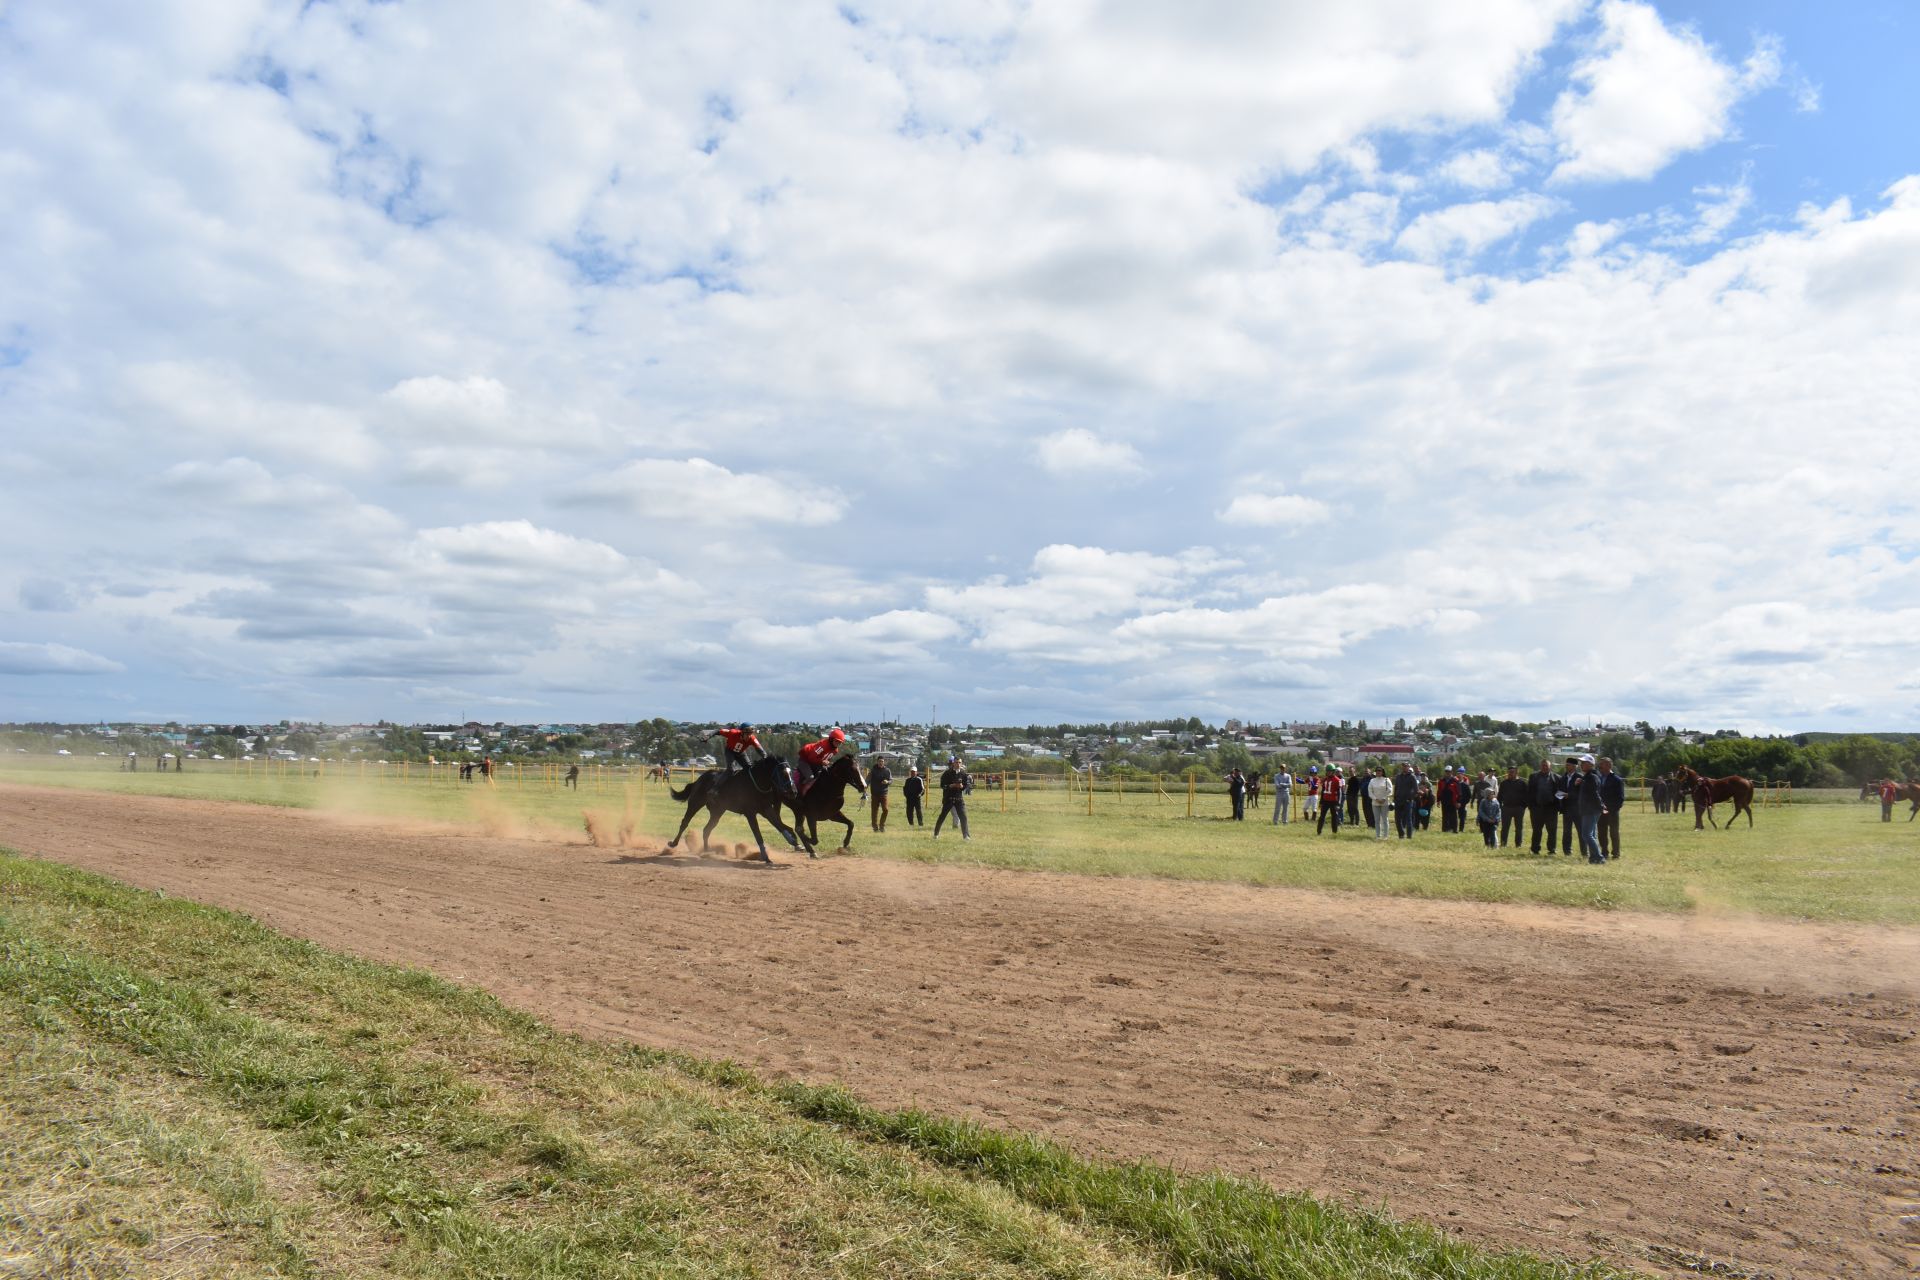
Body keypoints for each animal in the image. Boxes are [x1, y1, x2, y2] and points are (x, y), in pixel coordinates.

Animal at [664, 756, 806, 867]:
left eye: (791, 773)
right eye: (783, 773)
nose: (793, 791)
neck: (756, 783)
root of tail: (698, 780)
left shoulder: (766, 809)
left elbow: (780, 826)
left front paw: (796, 844)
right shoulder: (751, 813)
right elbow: (758, 835)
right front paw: (766, 857)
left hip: (717, 812)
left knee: (707, 829)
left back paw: (707, 851)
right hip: (695, 803)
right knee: (685, 822)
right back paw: (673, 843)